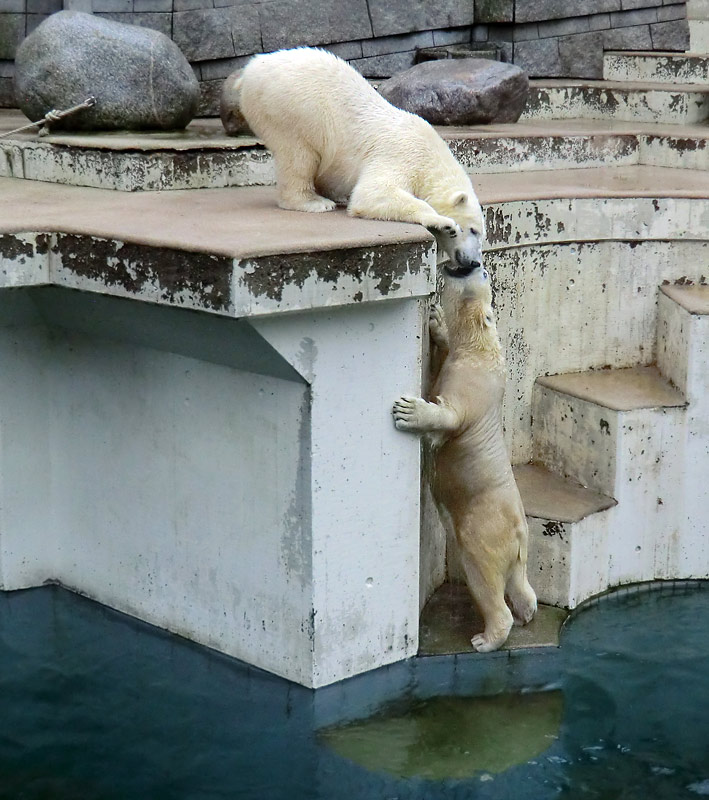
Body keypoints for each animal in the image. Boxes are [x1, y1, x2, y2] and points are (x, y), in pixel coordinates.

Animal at [230, 47, 484, 272]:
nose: (475, 262)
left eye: (481, 234)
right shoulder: (402, 154)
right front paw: (442, 222)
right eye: (472, 230)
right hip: (291, 107)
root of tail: (249, 70)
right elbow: (372, 194)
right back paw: (314, 202)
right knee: (298, 155)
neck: (430, 155)